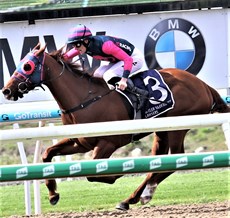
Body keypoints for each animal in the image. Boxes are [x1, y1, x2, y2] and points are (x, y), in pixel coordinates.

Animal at [2, 43, 230, 210]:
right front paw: (53, 193)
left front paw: (116, 175)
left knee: (174, 159)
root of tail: (204, 86)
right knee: (159, 161)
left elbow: (93, 173)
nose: (6, 90)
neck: (84, 99)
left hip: (177, 127)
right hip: (162, 130)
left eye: (27, 66)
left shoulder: (108, 142)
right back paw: (138, 196)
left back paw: (136, 196)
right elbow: (47, 154)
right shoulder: (79, 142)